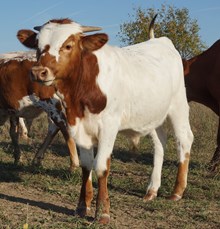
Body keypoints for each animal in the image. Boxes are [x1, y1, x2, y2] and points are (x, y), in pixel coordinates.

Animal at [17, 18, 192, 224]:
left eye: (68, 45)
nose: (38, 72)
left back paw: (177, 191)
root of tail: (160, 41)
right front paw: (82, 206)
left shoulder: (109, 127)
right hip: (154, 115)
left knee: (184, 140)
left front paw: (102, 212)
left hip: (178, 107)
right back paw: (152, 190)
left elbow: (100, 166)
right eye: (37, 45)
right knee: (160, 144)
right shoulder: (78, 126)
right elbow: (86, 165)